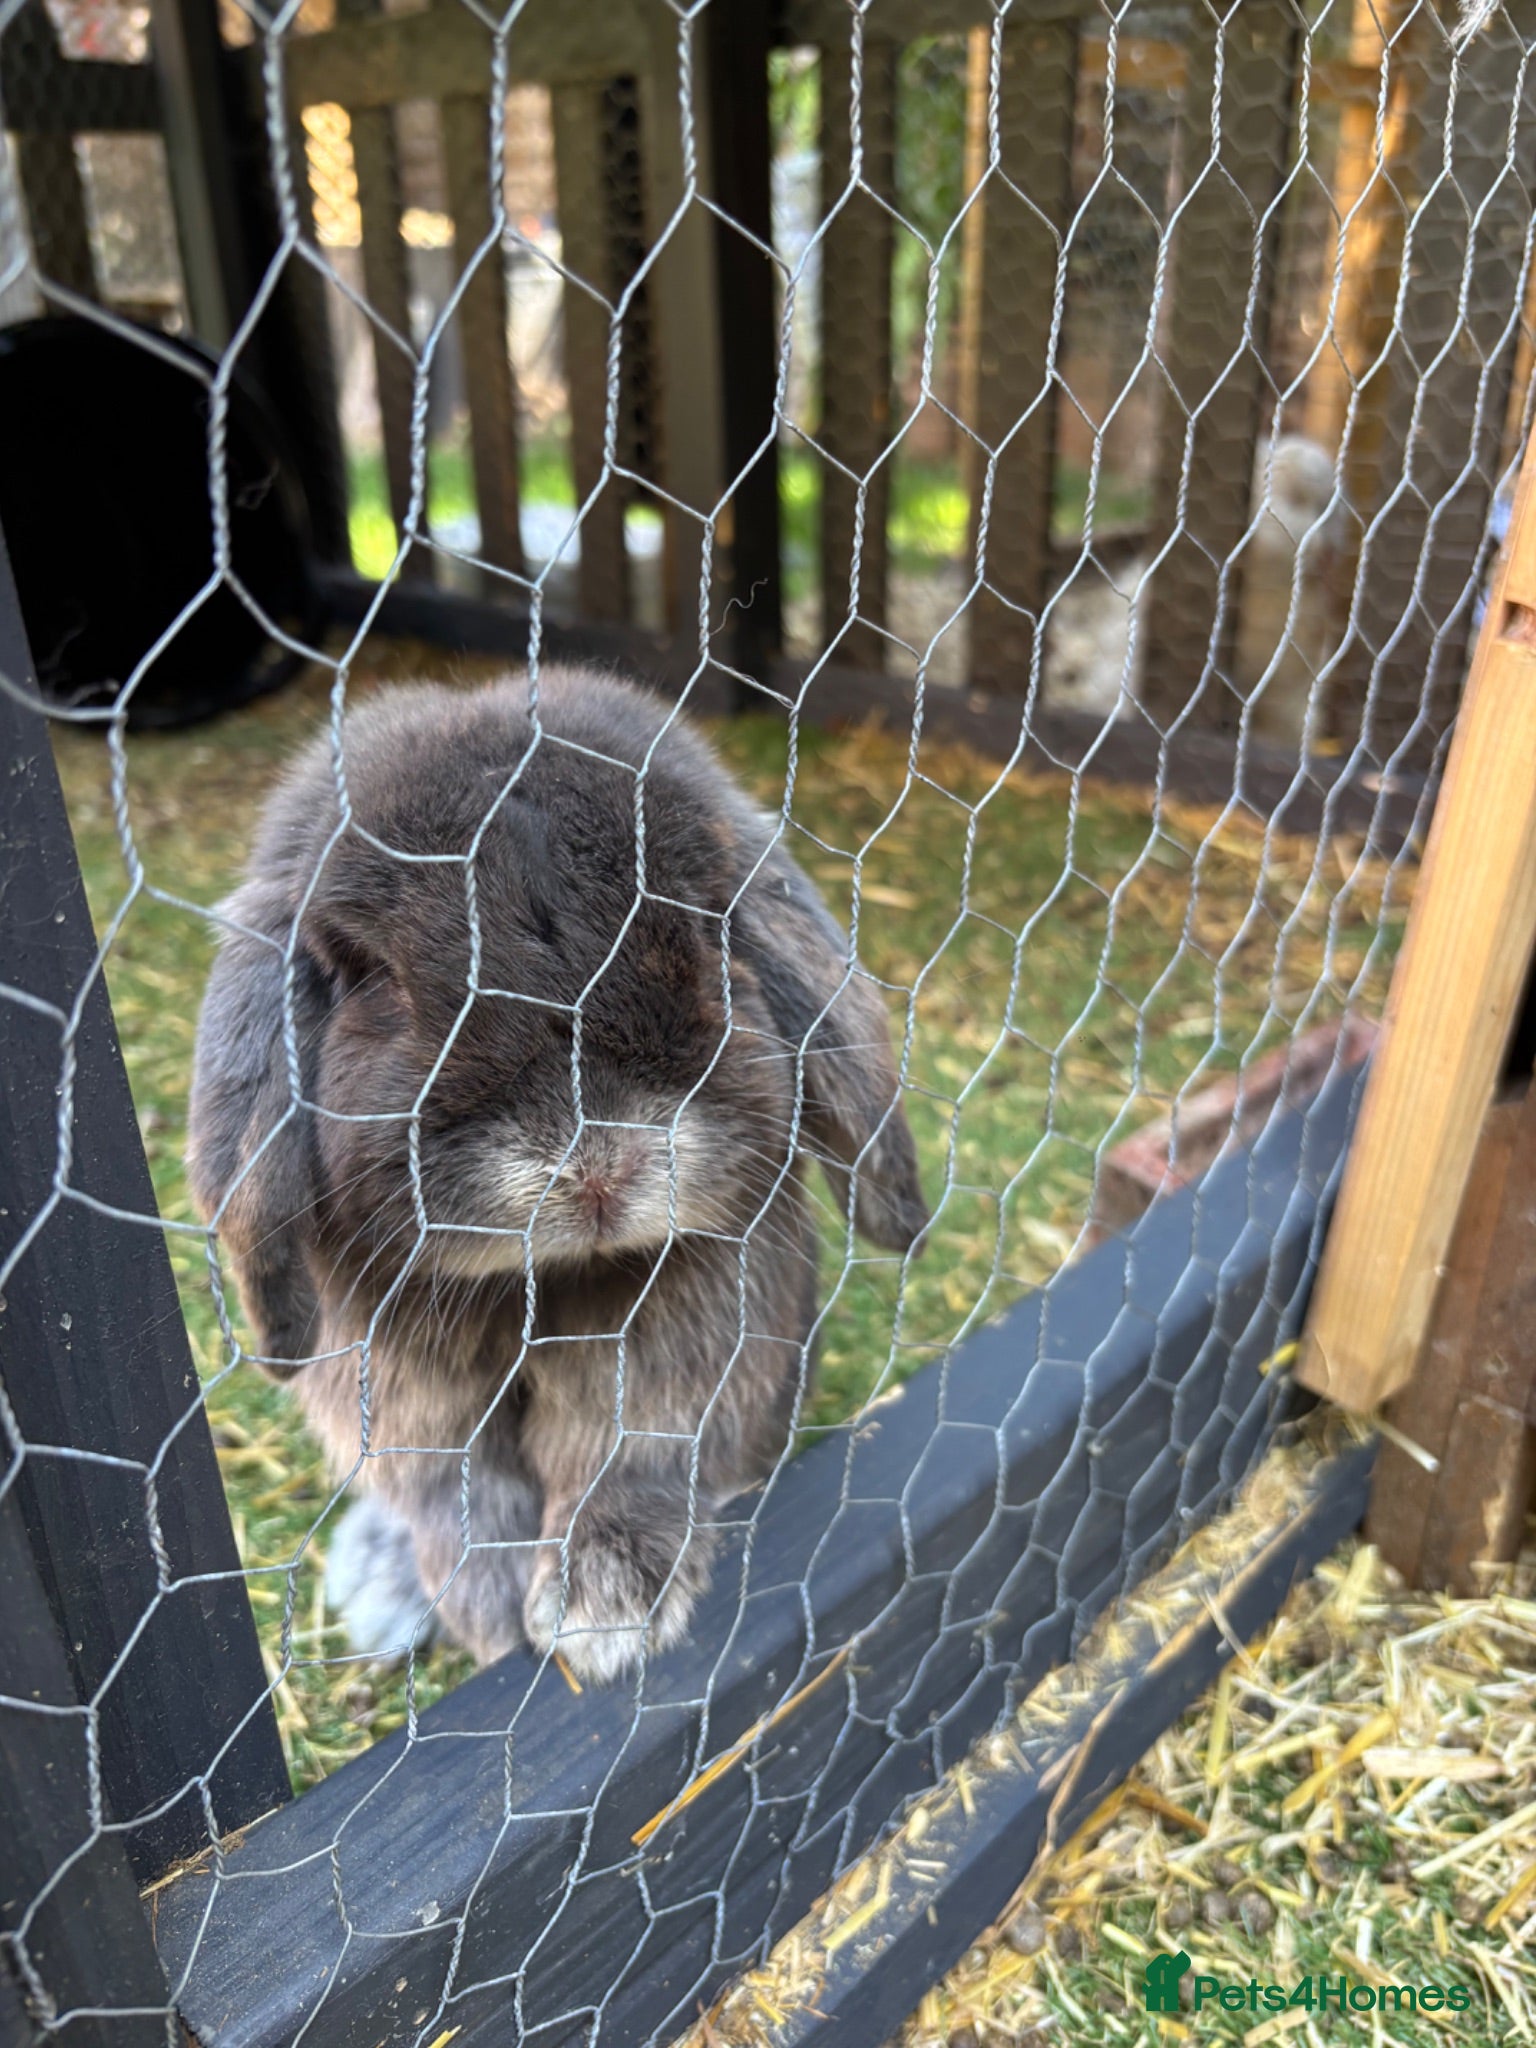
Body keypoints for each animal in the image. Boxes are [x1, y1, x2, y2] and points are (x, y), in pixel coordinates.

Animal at [188, 668, 928, 1684]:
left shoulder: (678, 1347)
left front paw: (604, 1609)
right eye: (370, 974)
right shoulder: (402, 1392)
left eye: (710, 926)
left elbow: (631, 1456)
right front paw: (496, 1612)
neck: (536, 1279)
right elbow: (456, 1497)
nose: (596, 1168)